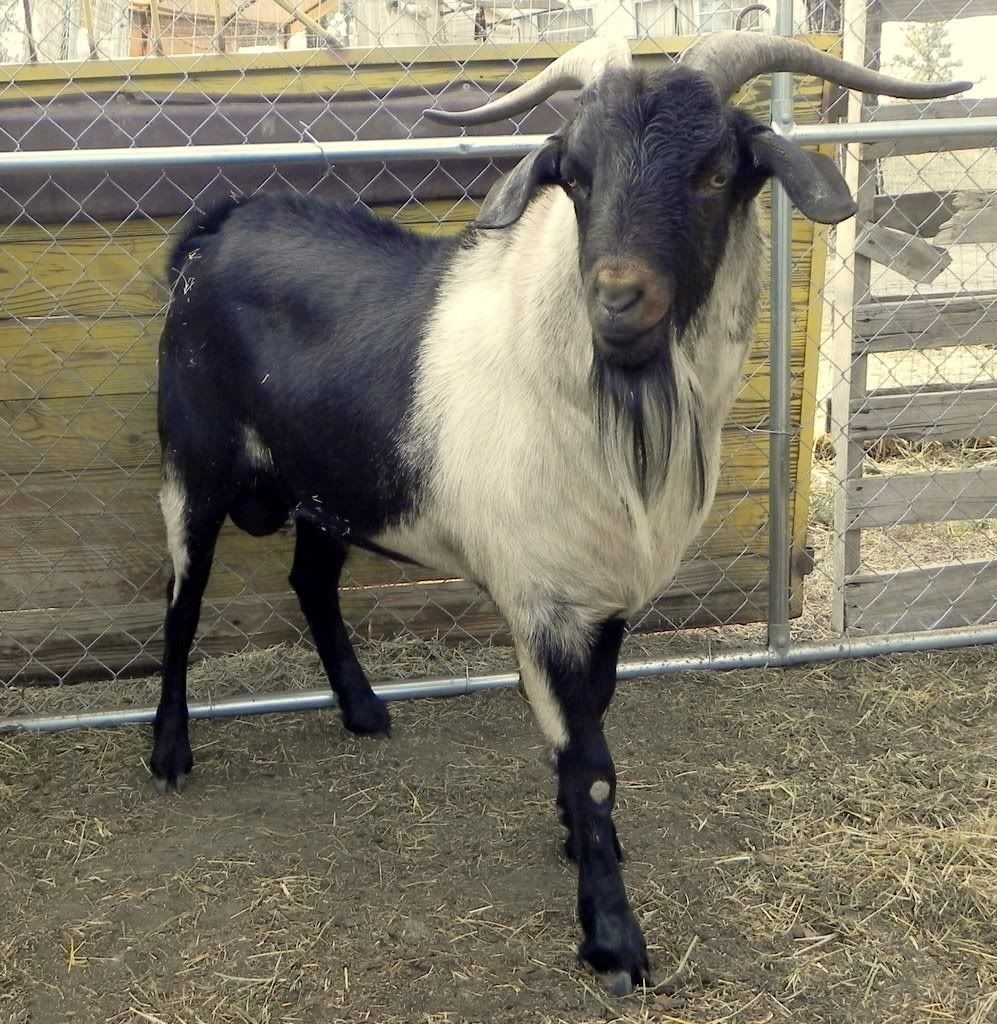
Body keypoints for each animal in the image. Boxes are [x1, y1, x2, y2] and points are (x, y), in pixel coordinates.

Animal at [152, 32, 968, 993]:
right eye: (574, 175)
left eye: (715, 170)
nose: (616, 300)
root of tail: (219, 226)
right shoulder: (539, 601)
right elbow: (591, 761)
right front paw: (612, 940)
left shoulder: (603, 598)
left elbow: (595, 722)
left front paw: (577, 842)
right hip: (191, 468)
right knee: (180, 607)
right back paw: (169, 754)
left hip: (334, 484)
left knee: (310, 580)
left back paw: (362, 710)